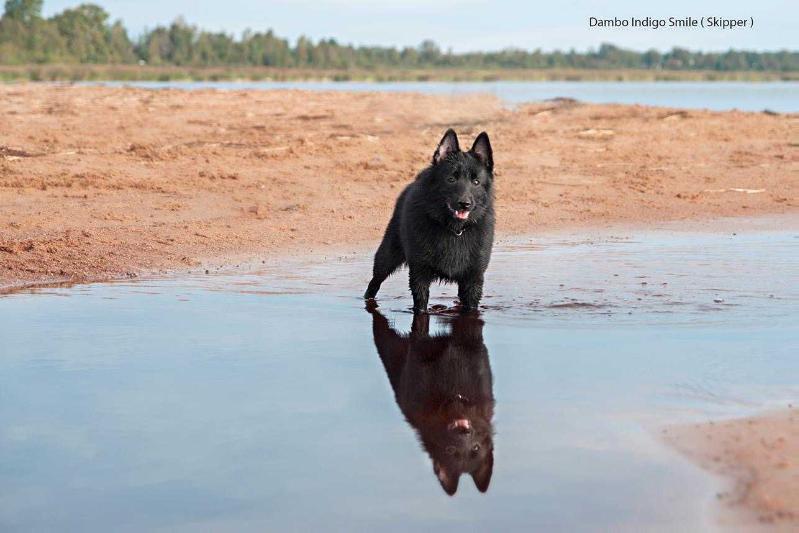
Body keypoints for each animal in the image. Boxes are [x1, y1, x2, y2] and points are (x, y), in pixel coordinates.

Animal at [368, 129, 494, 312]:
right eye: (451, 179)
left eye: (476, 182)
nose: (464, 204)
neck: (454, 230)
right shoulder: (419, 275)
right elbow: (420, 306)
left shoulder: (473, 279)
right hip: (387, 256)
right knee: (374, 281)